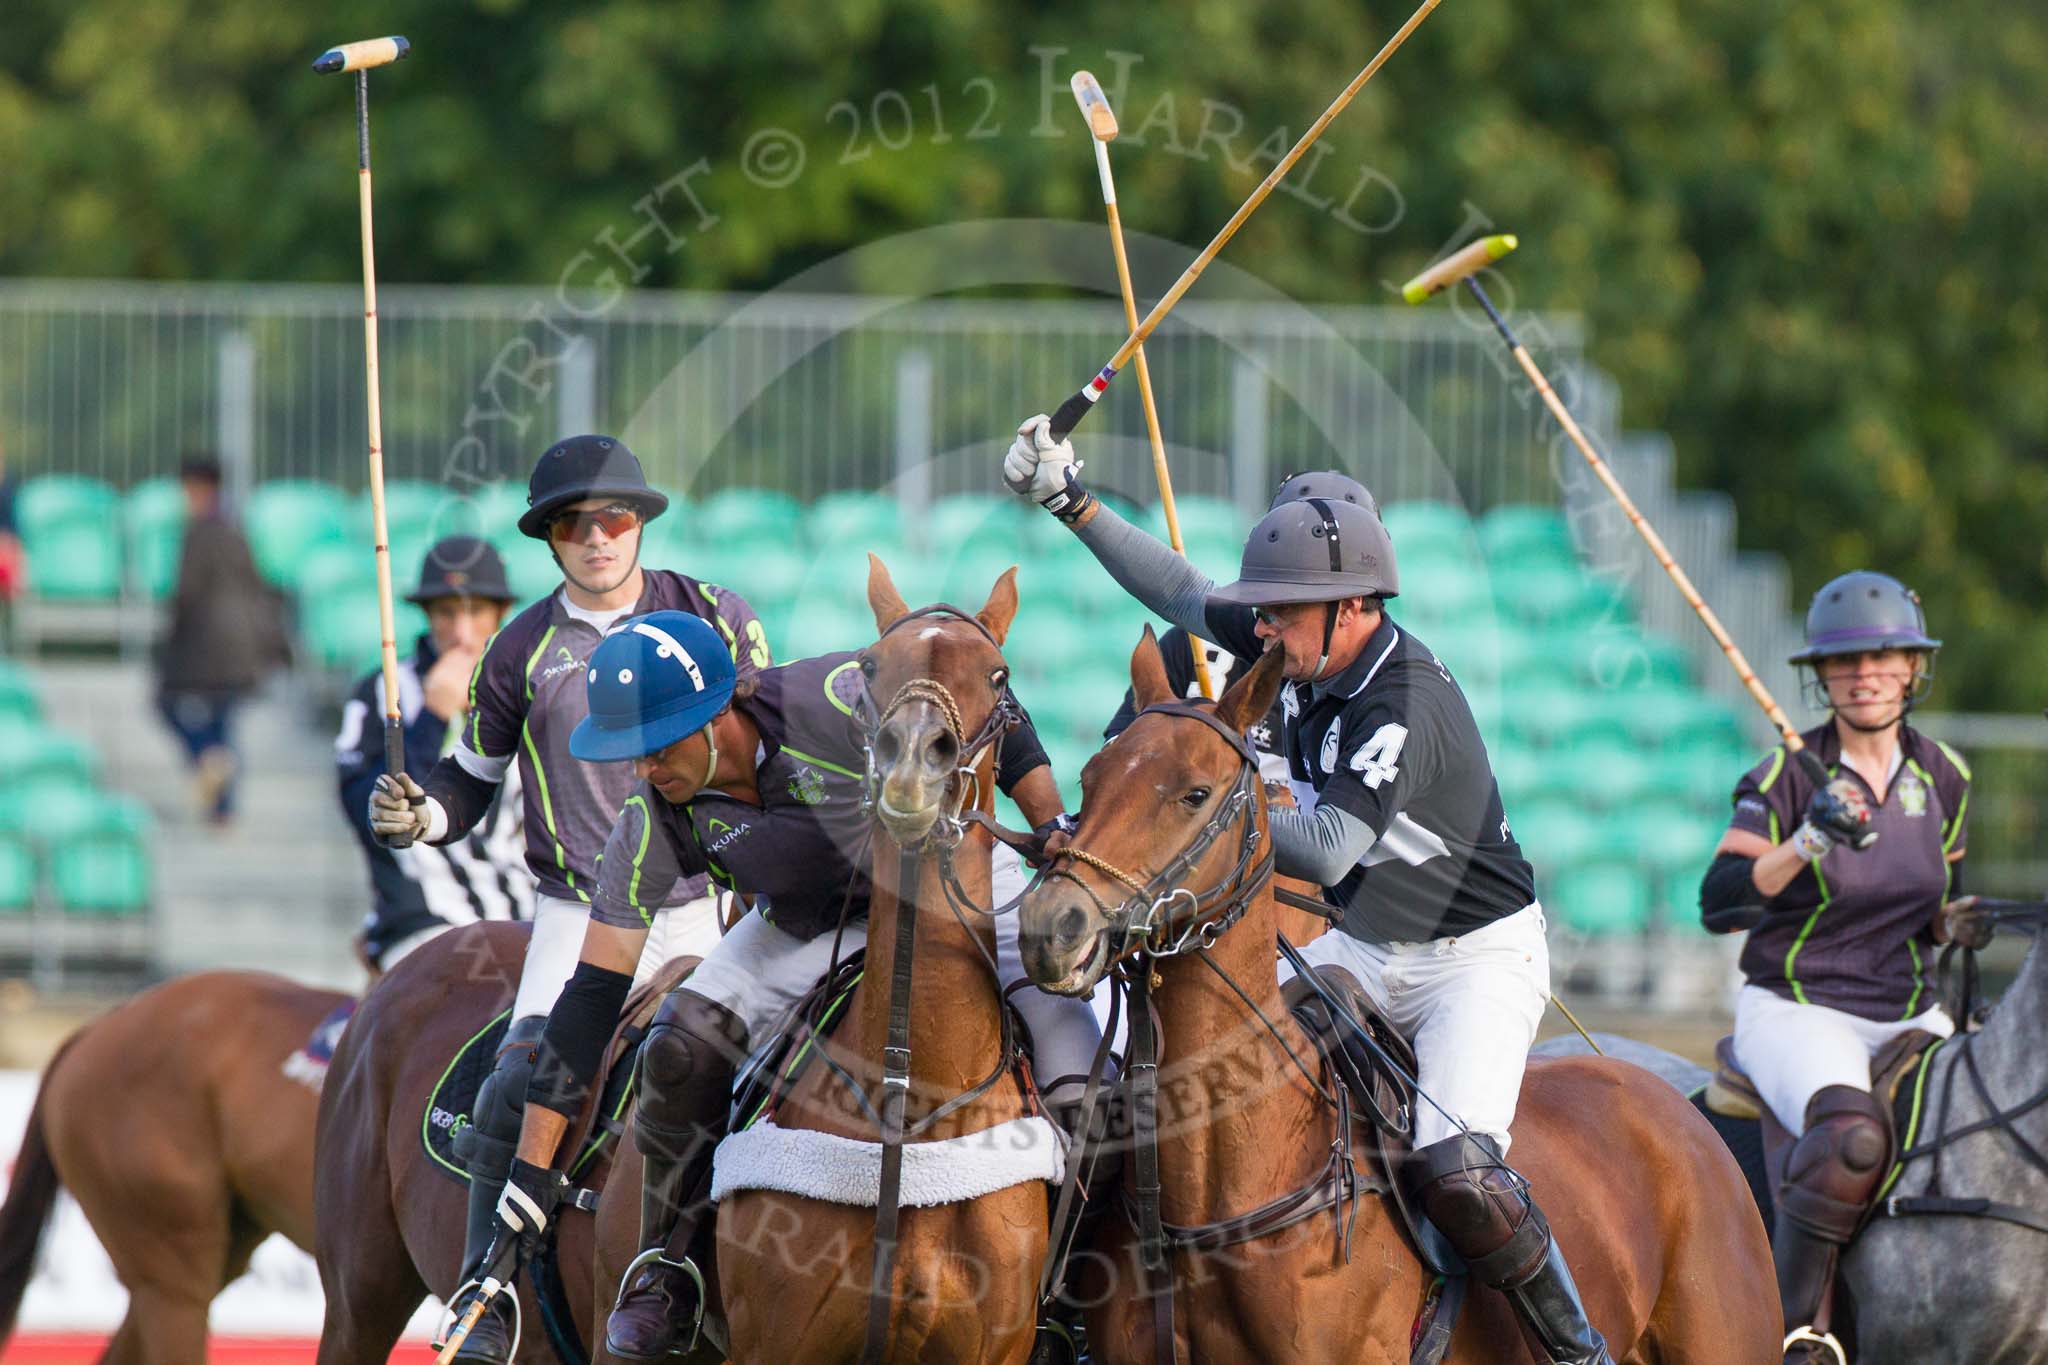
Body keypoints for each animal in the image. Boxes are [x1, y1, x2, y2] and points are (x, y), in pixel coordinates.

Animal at [704, 560, 1056, 1358]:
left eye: (997, 673)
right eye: (869, 665)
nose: (911, 766)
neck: (911, 1100)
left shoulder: (1001, 1343)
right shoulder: (773, 1342)